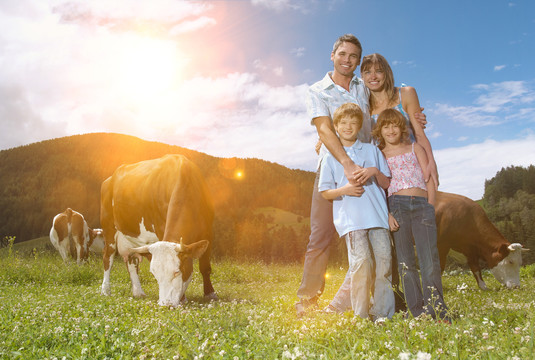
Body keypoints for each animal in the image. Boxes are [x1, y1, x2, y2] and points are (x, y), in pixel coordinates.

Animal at [99, 154, 217, 306]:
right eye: (155, 274)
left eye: (177, 271)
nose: (165, 304)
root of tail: (110, 178)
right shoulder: (161, 228)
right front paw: (183, 298)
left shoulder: (208, 231)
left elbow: (205, 267)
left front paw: (210, 293)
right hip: (109, 228)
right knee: (108, 257)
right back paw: (105, 290)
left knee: (131, 260)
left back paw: (138, 292)